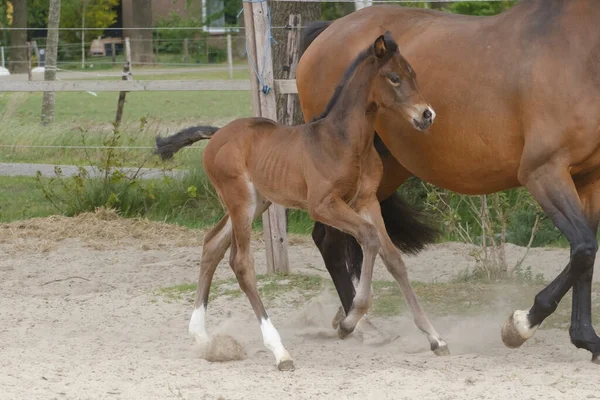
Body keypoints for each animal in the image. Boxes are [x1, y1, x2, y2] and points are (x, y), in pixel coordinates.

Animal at [155, 31, 446, 372]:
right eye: (394, 77)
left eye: (414, 75)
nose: (427, 115)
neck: (347, 142)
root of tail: (216, 135)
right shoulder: (323, 205)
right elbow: (370, 238)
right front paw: (347, 323)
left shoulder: (367, 202)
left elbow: (393, 258)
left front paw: (435, 338)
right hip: (241, 202)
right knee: (241, 263)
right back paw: (280, 352)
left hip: (257, 203)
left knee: (212, 244)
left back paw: (201, 337)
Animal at [298, 0, 600, 362]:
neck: (580, 52)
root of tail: (328, 32)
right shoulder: (544, 172)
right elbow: (583, 248)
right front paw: (520, 326)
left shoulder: (588, 179)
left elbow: (585, 254)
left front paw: (586, 337)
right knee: (331, 241)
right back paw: (361, 327)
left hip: (382, 173)